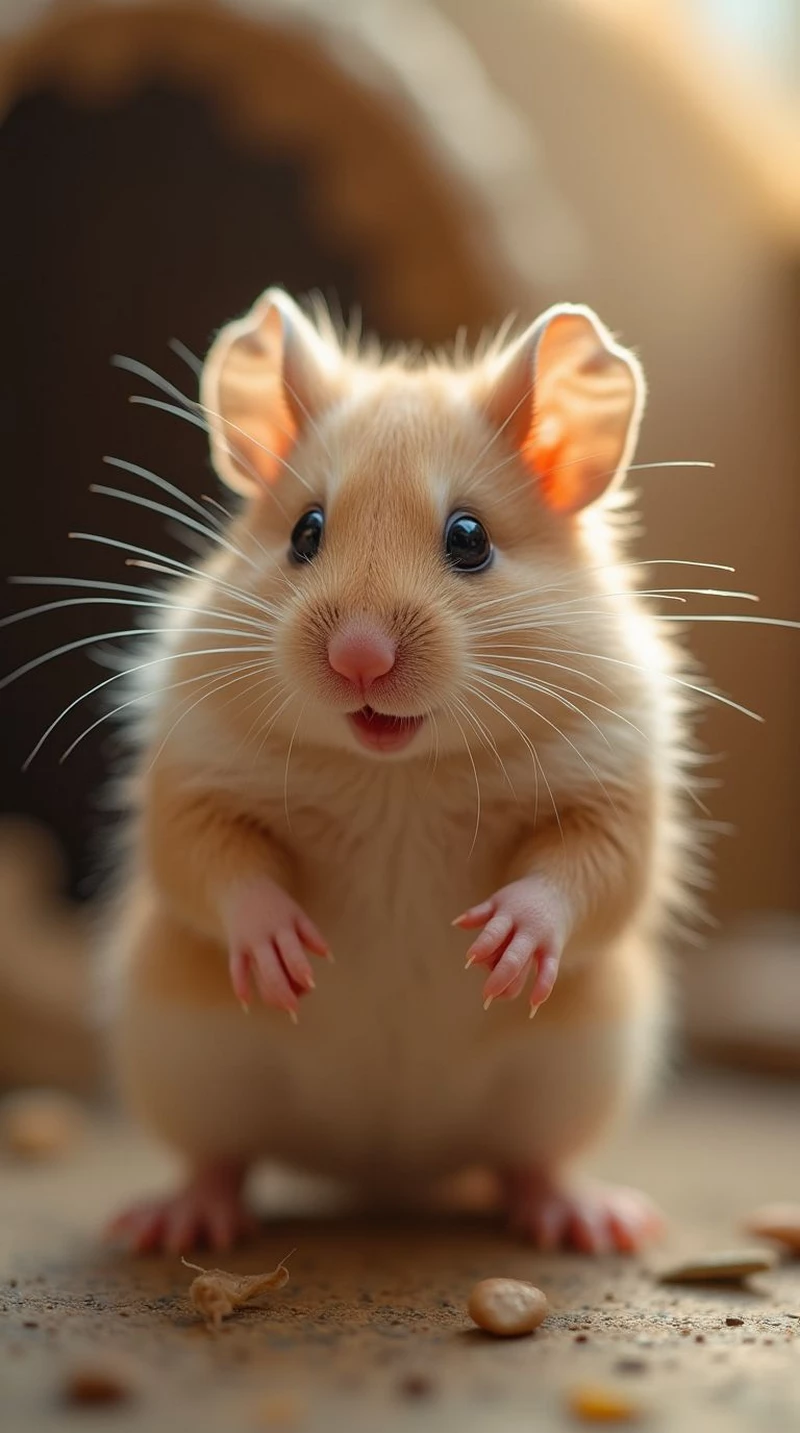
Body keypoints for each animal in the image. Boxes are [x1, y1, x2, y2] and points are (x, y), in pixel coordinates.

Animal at [104, 289, 693, 1256]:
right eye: (305, 532)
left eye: (470, 539)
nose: (359, 659)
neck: (396, 774)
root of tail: (383, 1169)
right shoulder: (191, 778)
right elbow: (216, 864)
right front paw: (287, 957)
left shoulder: (614, 788)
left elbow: (583, 873)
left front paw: (499, 948)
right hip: (186, 1065)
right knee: (219, 1157)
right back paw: (177, 1221)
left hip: (574, 1076)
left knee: (531, 1161)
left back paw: (589, 1218)